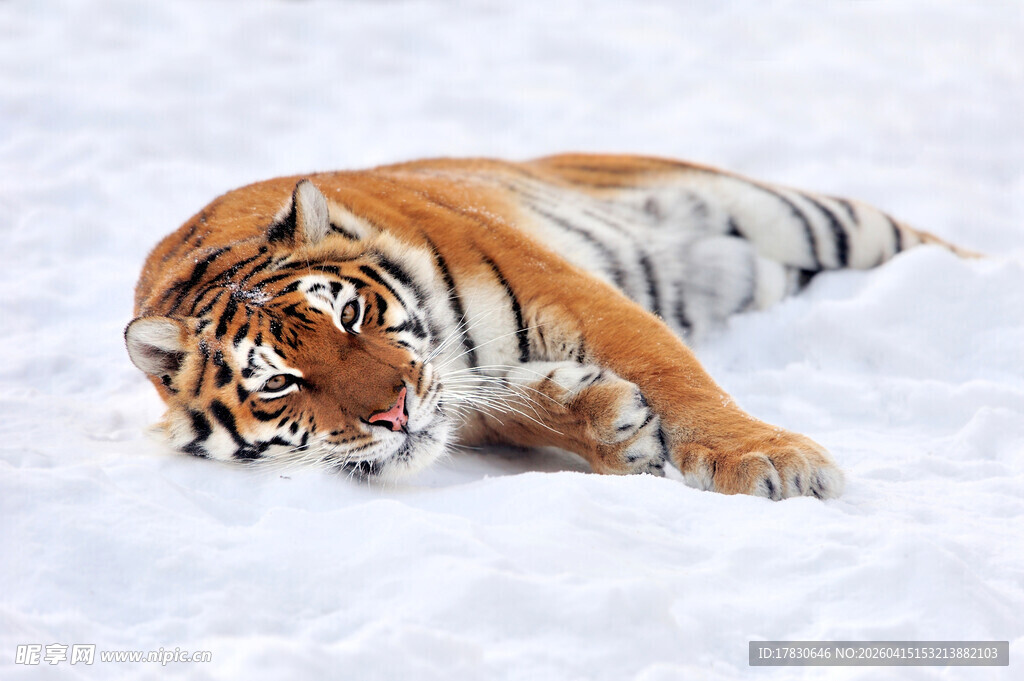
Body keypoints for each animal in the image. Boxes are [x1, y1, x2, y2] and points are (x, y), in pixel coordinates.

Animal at [125, 153, 971, 500]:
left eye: (351, 314)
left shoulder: (565, 289)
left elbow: (675, 374)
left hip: (807, 216)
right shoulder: (460, 399)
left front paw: (771, 460)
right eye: (279, 382)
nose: (393, 411)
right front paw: (612, 426)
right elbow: (513, 405)